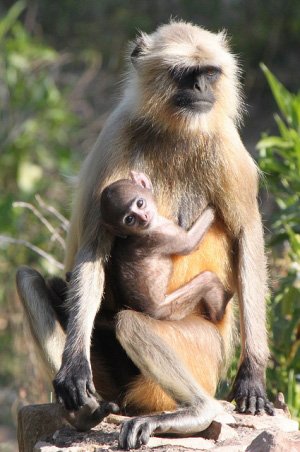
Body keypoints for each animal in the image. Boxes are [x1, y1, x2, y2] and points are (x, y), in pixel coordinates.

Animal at [99, 171, 231, 324]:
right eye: (129, 219)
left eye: (140, 203)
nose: (144, 217)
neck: (135, 234)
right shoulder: (162, 233)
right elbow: (189, 244)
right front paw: (213, 208)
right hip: (170, 311)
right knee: (207, 280)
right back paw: (218, 313)